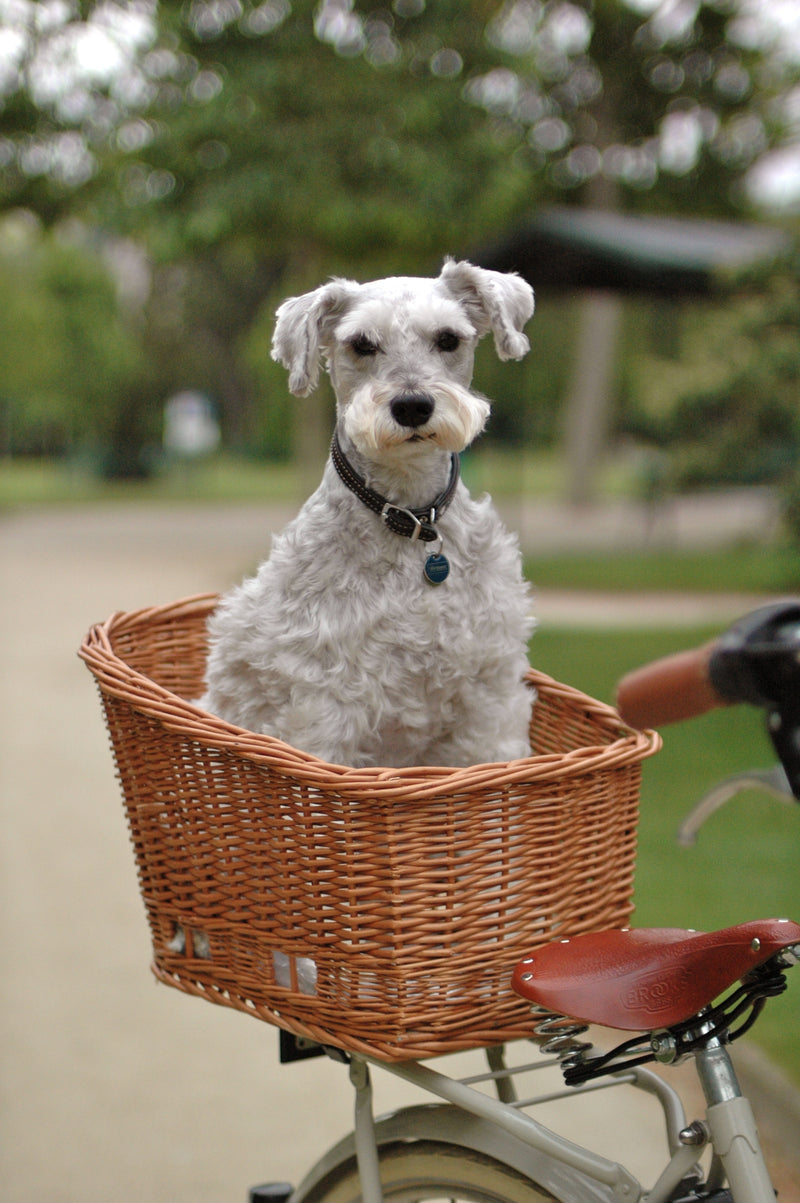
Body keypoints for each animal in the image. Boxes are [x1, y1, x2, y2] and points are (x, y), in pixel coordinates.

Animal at [200, 262, 536, 769]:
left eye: (448, 339)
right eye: (361, 343)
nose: (412, 405)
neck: (410, 515)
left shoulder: (489, 691)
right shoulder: (326, 695)